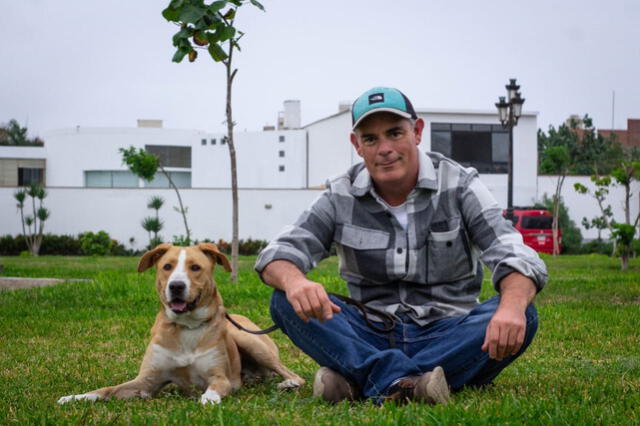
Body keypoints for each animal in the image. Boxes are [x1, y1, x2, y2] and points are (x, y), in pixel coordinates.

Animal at [57, 243, 302, 406]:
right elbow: (106, 390)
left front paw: (207, 400)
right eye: (167, 266)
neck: (187, 327)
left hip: (248, 340)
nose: (176, 286)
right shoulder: (145, 382)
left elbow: (213, 390)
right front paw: (75, 397)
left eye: (195, 268)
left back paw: (288, 384)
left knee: (292, 374)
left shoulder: (220, 377)